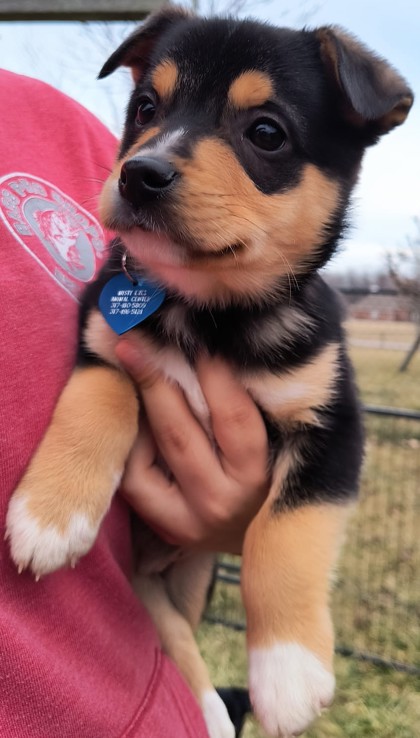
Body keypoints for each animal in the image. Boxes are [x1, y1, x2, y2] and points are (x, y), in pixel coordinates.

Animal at [7, 10, 414, 736]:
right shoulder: (102, 342)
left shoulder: (333, 425)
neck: (208, 315)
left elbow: (283, 534)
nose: (140, 174)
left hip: (195, 568)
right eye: (146, 107)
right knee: (163, 621)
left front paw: (287, 671)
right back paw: (207, 708)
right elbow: (102, 399)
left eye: (266, 132)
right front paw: (50, 515)